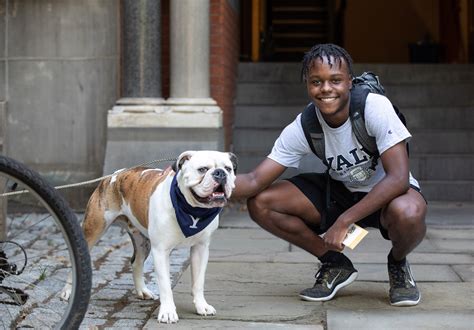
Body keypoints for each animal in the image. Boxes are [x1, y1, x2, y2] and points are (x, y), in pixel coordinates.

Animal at [60, 151, 237, 324]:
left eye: (228, 169)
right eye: (202, 169)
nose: (220, 173)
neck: (192, 210)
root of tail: (113, 176)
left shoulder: (201, 249)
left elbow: (198, 282)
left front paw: (202, 306)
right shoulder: (161, 251)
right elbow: (165, 285)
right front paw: (168, 312)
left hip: (143, 242)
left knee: (136, 263)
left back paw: (142, 291)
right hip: (93, 230)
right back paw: (68, 292)